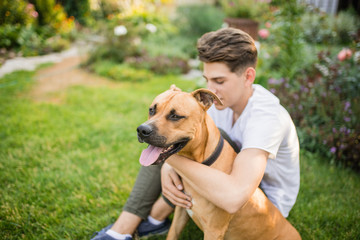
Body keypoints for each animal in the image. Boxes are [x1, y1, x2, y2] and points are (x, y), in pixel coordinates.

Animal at [137, 85, 300, 239]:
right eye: (152, 110)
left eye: (175, 116)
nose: (142, 130)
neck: (201, 164)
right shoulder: (181, 211)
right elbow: (172, 234)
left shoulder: (214, 230)